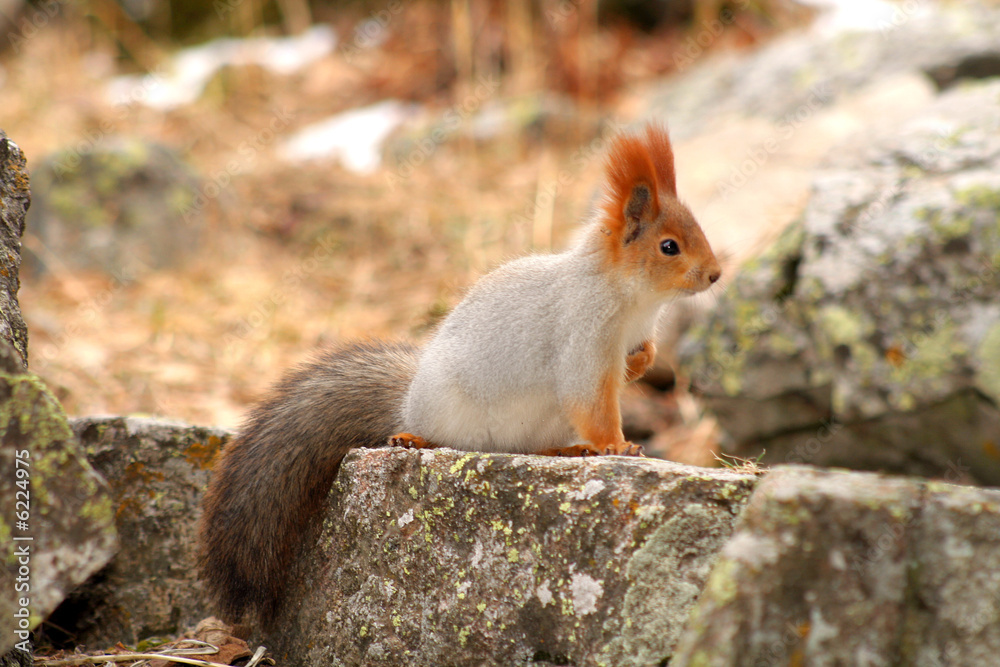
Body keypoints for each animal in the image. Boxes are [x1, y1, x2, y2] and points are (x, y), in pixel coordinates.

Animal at [201, 122, 720, 628]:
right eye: (669, 247)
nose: (716, 274)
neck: (631, 297)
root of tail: (408, 402)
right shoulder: (582, 340)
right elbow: (589, 399)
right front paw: (617, 444)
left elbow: (633, 363)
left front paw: (642, 362)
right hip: (446, 412)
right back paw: (415, 439)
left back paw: (565, 450)